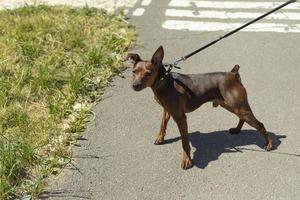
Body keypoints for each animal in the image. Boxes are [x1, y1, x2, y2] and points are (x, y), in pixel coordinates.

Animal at [125, 46, 274, 169]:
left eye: (148, 73)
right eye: (134, 71)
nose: (135, 85)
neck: (163, 82)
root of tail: (233, 74)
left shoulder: (180, 117)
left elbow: (185, 142)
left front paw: (186, 160)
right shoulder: (167, 110)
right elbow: (163, 125)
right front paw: (160, 138)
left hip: (238, 107)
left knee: (260, 125)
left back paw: (269, 144)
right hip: (230, 106)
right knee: (242, 118)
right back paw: (237, 130)